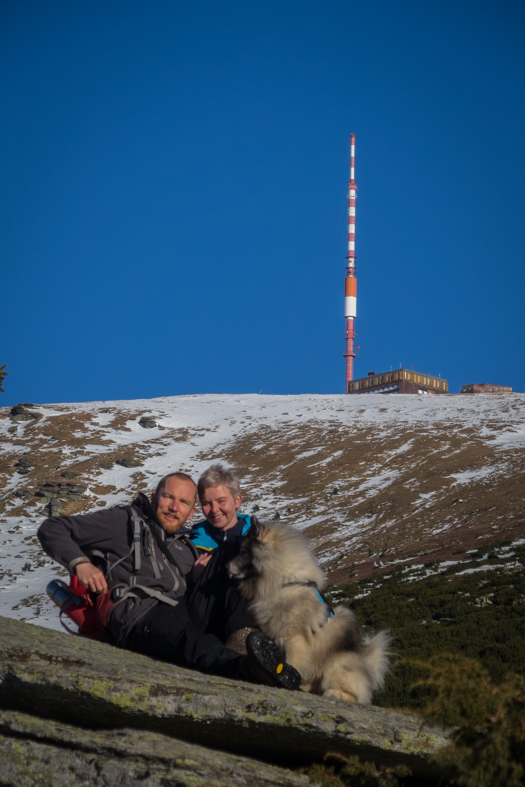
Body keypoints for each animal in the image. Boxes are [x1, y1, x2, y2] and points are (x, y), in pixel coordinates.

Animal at [228, 520, 388, 704]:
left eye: (243, 551)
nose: (225, 565)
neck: (285, 582)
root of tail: (368, 667)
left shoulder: (294, 638)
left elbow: (292, 661)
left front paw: (284, 678)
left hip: (337, 667)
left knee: (356, 696)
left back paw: (334, 693)